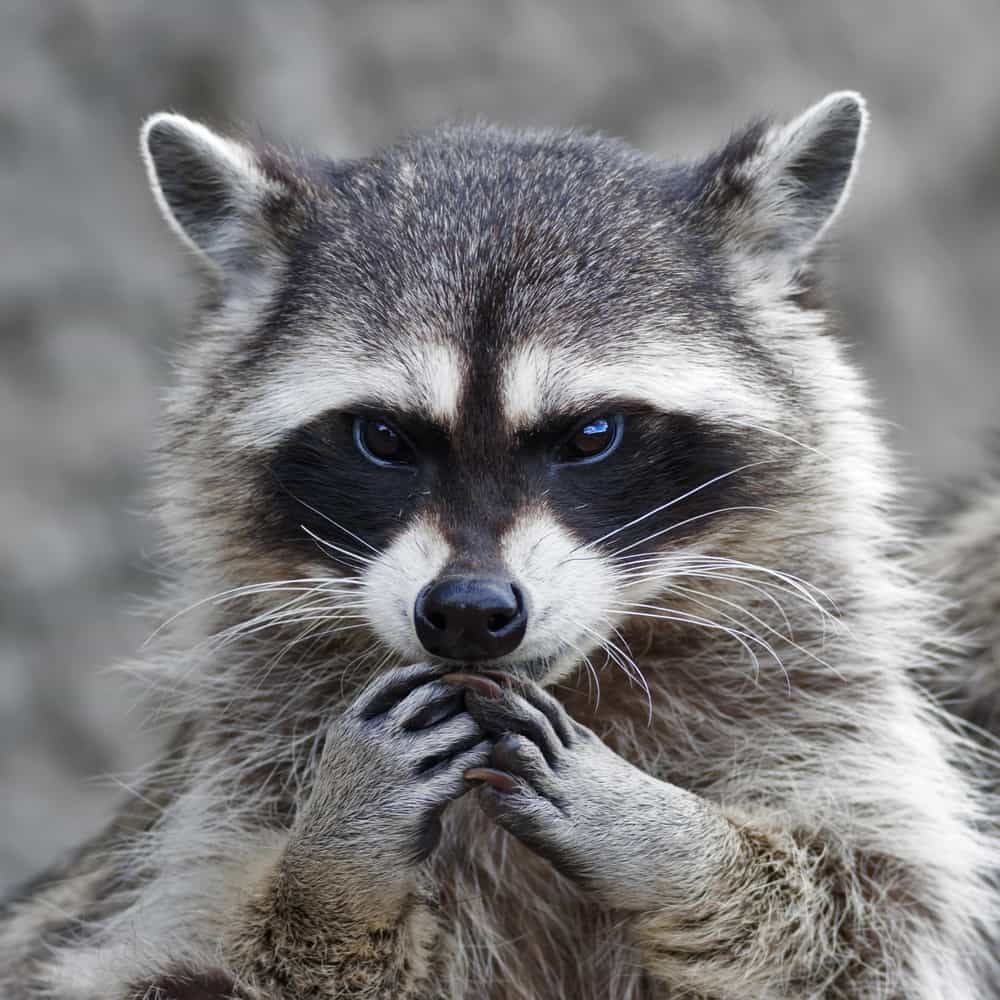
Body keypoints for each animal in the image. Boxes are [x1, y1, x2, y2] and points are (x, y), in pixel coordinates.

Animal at [3, 95, 996, 1000]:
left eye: (593, 434)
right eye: (382, 438)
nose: (470, 612)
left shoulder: (823, 708)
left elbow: (869, 916)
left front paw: (668, 840)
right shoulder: (219, 801)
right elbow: (185, 966)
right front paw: (331, 873)